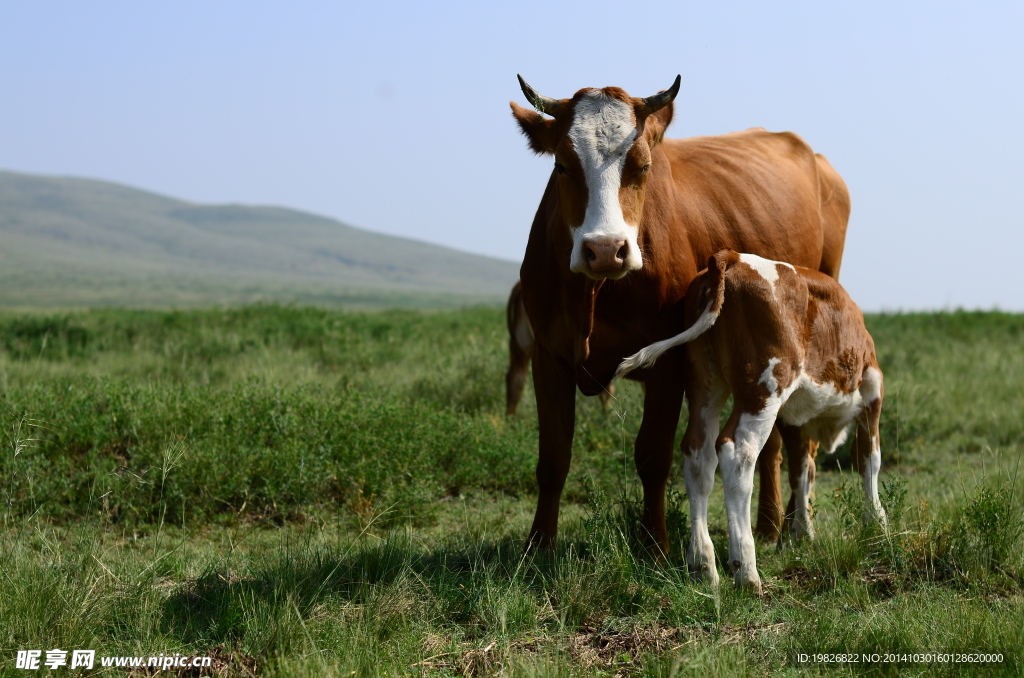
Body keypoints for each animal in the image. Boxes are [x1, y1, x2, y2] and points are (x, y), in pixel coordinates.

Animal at [507, 75, 851, 553]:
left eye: (643, 165)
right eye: (561, 165)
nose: (605, 250)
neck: (595, 292)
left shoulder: (667, 361)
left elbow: (653, 455)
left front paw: (655, 547)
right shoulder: (548, 356)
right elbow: (553, 457)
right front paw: (538, 547)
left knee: (790, 442)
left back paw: (780, 524)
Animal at [614, 250, 888, 594]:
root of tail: (731, 257)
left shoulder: (793, 418)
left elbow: (802, 472)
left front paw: (802, 533)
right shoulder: (872, 393)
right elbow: (869, 462)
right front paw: (878, 527)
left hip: (705, 383)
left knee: (698, 456)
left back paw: (703, 566)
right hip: (763, 389)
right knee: (736, 453)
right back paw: (746, 571)